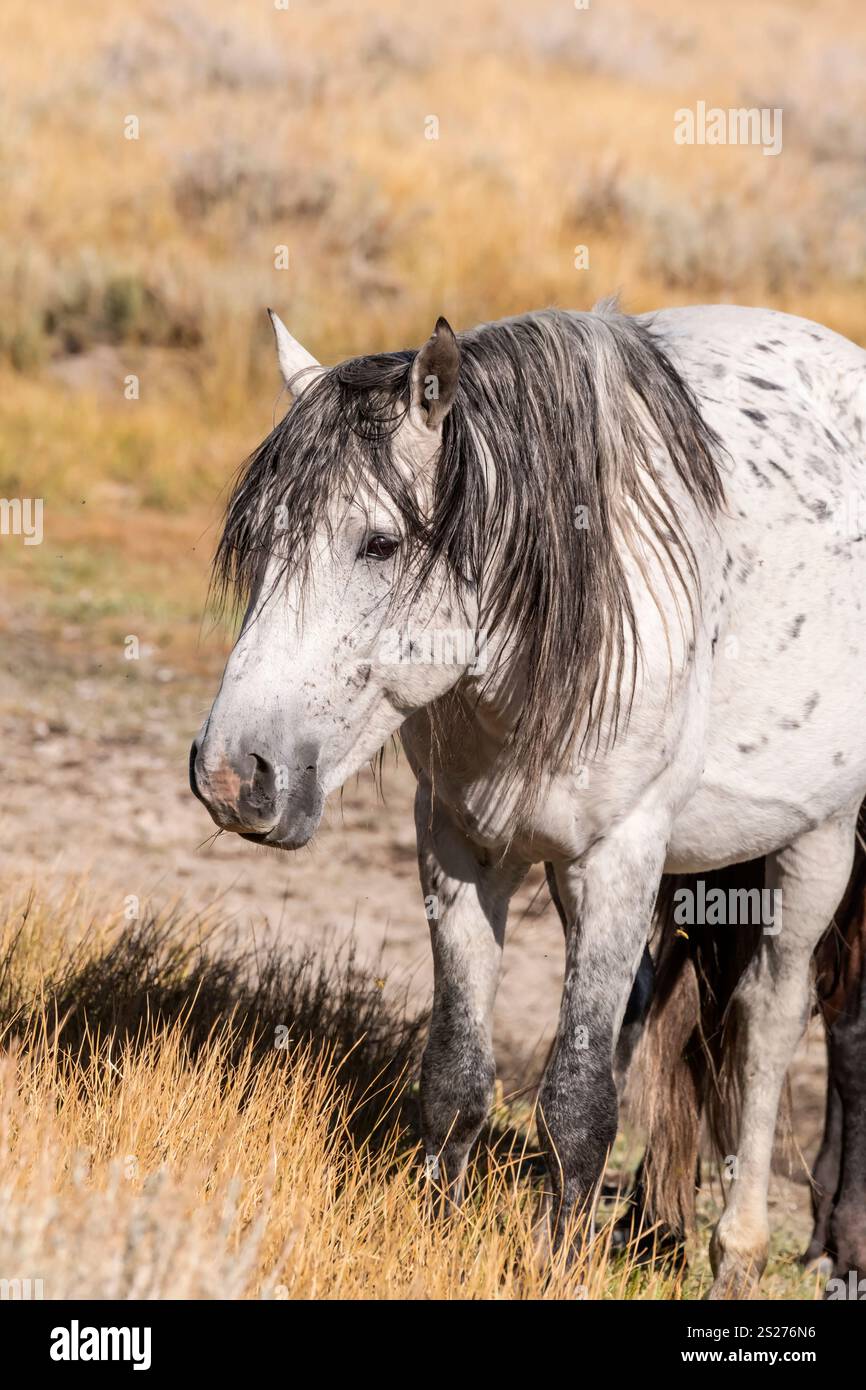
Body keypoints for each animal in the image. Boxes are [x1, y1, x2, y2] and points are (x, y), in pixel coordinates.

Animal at [190, 299, 866, 1298]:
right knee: (666, 1017)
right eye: (261, 542)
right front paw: (438, 1241)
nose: (234, 776)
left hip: (815, 843)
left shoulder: (623, 854)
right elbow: (458, 1079)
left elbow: (580, 1102)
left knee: (770, 1022)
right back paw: (654, 1226)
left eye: (380, 542)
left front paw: (557, 1268)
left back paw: (738, 1253)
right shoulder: (461, 846)